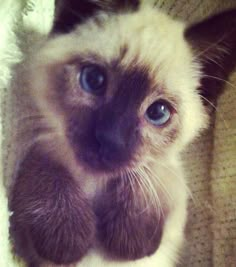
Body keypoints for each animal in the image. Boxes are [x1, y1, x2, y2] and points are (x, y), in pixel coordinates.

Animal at [7, 0, 236, 267]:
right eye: (93, 79)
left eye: (158, 112)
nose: (109, 139)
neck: (95, 180)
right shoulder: (43, 143)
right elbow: (46, 163)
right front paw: (68, 241)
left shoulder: (169, 181)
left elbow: (153, 174)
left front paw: (129, 240)